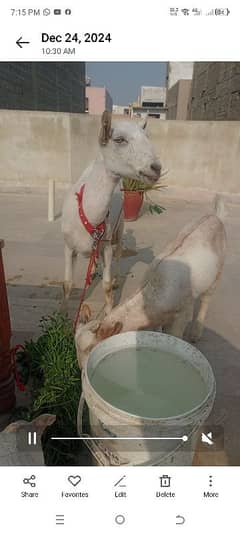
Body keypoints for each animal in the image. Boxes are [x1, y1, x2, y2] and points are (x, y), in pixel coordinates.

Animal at [61, 112, 161, 312]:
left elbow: (106, 285)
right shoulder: (68, 246)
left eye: (147, 137)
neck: (86, 217)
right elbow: (67, 284)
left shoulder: (106, 243)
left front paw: (108, 312)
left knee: (119, 250)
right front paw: (61, 316)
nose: (156, 167)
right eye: (119, 139)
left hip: (119, 226)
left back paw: (116, 277)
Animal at [76, 196, 226, 370]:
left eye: (91, 348)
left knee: (207, 299)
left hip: (217, 274)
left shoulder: (181, 318)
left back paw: (196, 333)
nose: (81, 370)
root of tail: (216, 217)